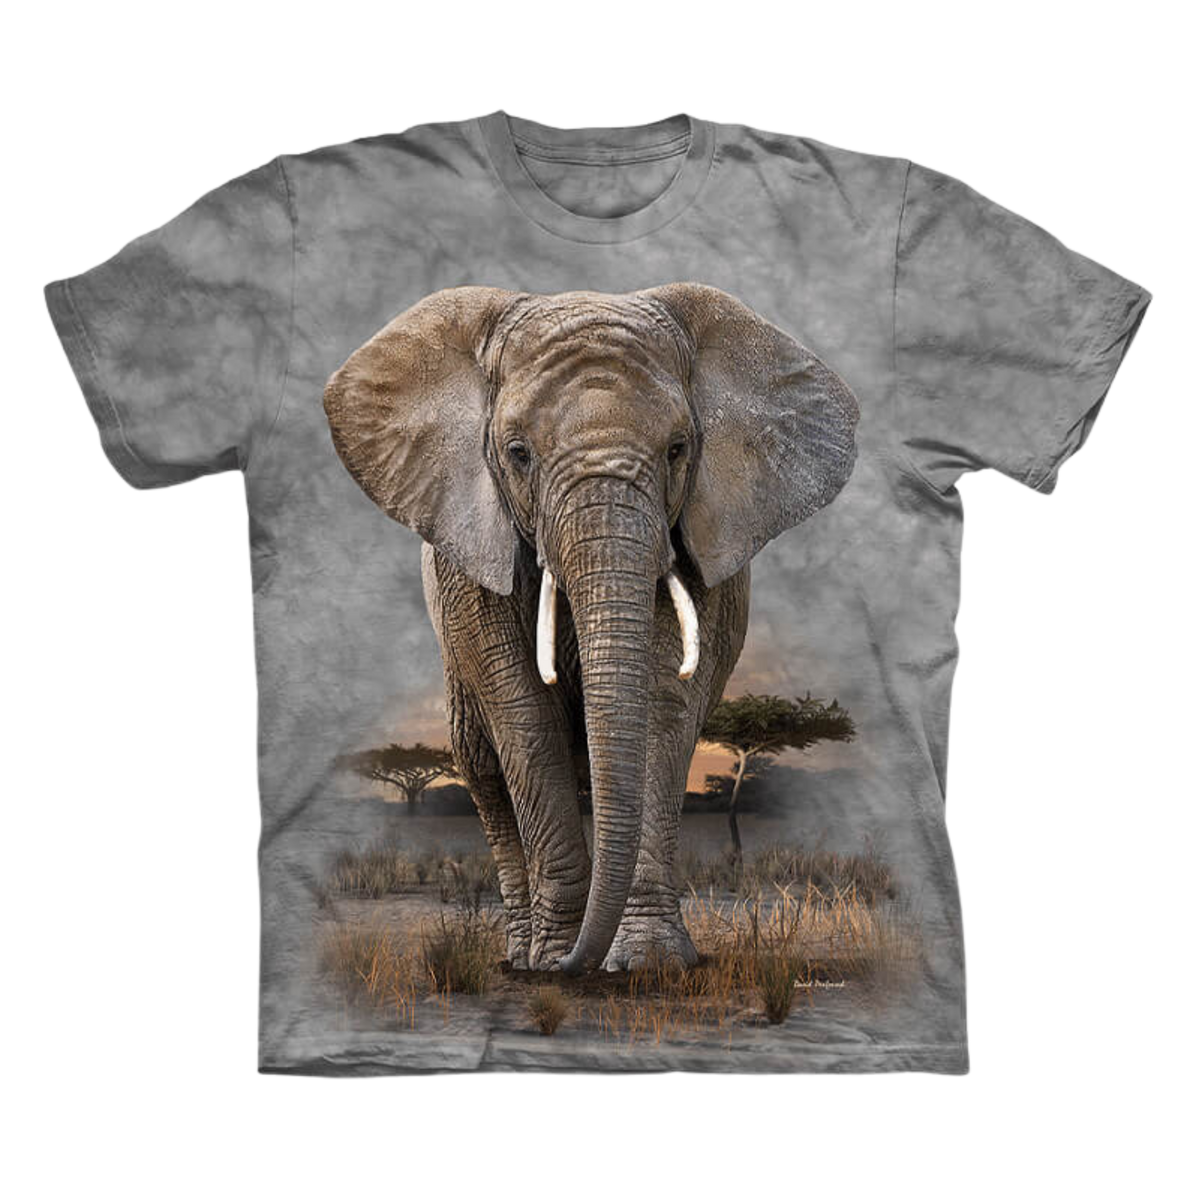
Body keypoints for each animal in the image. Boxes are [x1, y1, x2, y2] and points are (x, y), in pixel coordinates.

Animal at [323, 283, 859, 974]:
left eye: (678, 449)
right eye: (518, 453)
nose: (574, 964)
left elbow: (663, 703)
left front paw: (650, 964)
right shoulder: (467, 555)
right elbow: (524, 715)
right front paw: (555, 960)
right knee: (483, 769)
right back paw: (521, 953)